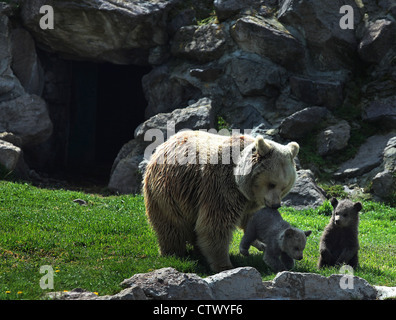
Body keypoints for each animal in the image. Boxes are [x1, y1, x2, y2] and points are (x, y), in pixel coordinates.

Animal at [142, 130, 296, 272]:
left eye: (284, 186)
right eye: (272, 184)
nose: (276, 205)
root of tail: (163, 145)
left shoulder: (248, 200)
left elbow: (253, 221)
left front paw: (261, 243)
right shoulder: (220, 186)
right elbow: (215, 224)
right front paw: (224, 265)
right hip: (167, 190)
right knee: (171, 225)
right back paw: (173, 253)